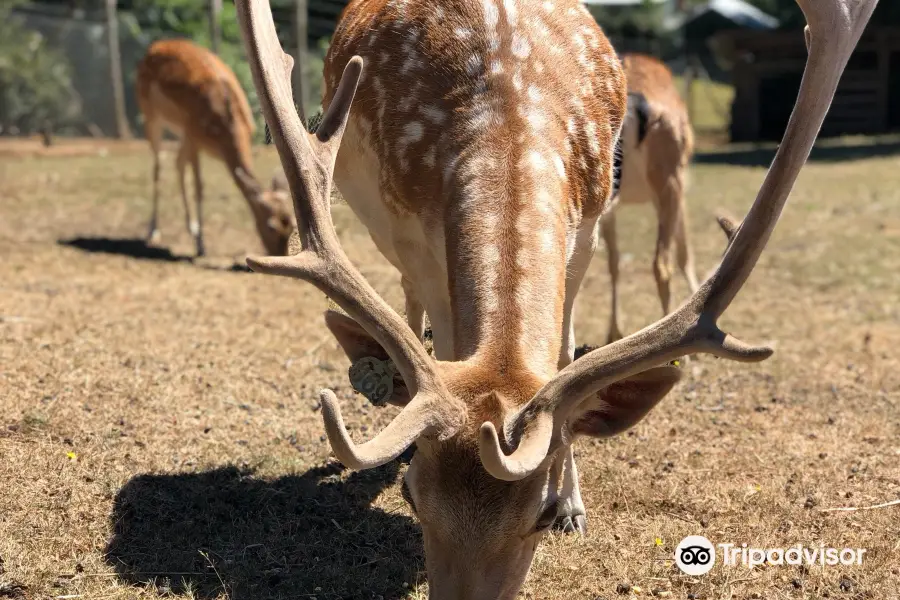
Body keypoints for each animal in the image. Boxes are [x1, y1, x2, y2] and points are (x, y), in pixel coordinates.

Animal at [136, 38, 296, 255]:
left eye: (292, 225)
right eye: (271, 226)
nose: (278, 256)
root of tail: (153, 48)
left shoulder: (191, 136)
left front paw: (197, 235)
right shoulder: (194, 136)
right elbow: (199, 187)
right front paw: (201, 246)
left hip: (180, 132)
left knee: (177, 163)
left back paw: (191, 227)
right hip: (151, 115)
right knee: (158, 167)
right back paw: (153, 231)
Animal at [600, 54, 700, 344]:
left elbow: (614, 262)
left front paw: (613, 332)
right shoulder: (679, 185)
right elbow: (684, 252)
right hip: (668, 180)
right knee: (661, 264)